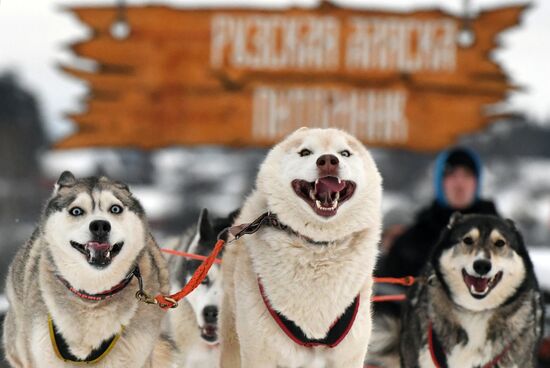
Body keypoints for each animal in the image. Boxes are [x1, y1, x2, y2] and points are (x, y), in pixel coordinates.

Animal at [220, 128, 384, 366]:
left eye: (344, 153)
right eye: (305, 152)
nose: (328, 161)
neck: (318, 246)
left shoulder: (349, 355)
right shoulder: (259, 354)